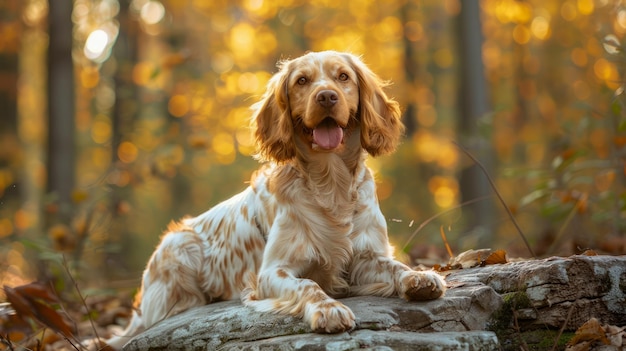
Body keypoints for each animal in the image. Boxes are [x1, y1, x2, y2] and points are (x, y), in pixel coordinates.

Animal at [105, 51, 444, 350]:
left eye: (343, 77)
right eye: (302, 80)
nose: (326, 97)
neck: (330, 182)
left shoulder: (365, 257)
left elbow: (395, 266)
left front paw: (419, 277)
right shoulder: (271, 273)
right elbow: (310, 285)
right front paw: (329, 309)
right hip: (180, 247)